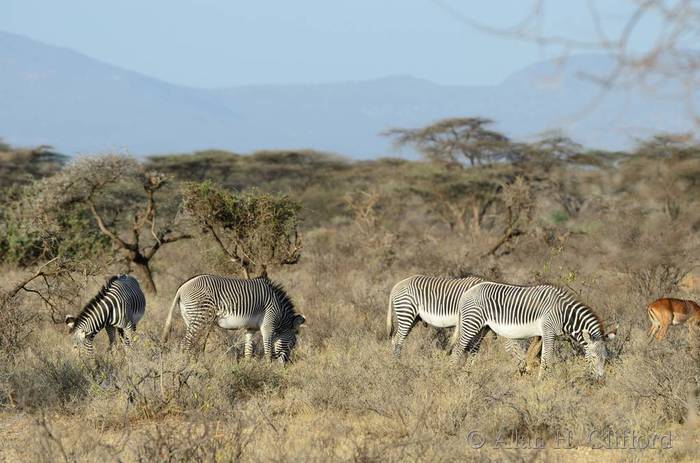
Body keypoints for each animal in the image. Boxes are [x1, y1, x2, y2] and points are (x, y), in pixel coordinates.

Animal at [163, 274, 308, 364]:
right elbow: (267, 351)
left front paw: (248, 369)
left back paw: (195, 366)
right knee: (186, 343)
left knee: (192, 343)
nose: (285, 365)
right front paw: (269, 369)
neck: (280, 311)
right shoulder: (268, 325)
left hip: (191, 319)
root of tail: (182, 287)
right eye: (293, 343)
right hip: (200, 317)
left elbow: (248, 351)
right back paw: (187, 367)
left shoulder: (250, 328)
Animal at [452, 282, 616, 380]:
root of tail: (466, 292)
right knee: (457, 349)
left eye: (605, 358)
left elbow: (536, 355)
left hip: (483, 327)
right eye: (593, 357)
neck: (564, 314)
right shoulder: (549, 332)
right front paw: (542, 381)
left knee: (473, 349)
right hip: (471, 323)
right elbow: (546, 358)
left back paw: (466, 376)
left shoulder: (543, 334)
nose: (600, 379)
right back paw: (450, 374)